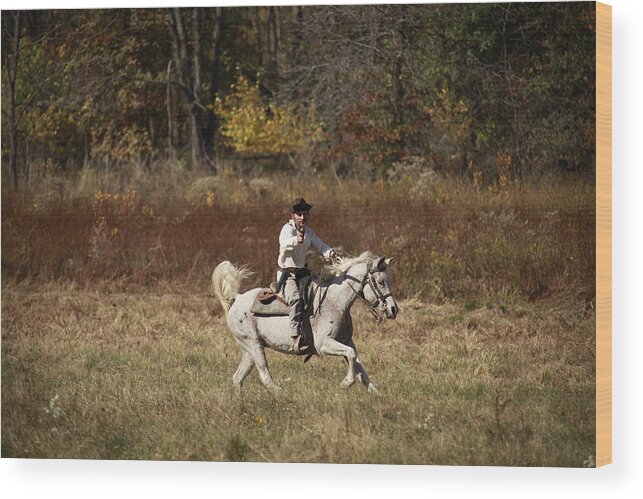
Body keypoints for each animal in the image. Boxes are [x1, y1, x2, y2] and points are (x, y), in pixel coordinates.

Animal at [214, 252, 400, 392]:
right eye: (381, 282)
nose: (393, 310)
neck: (334, 302)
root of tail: (237, 298)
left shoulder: (347, 341)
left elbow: (360, 368)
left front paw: (375, 393)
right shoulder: (324, 345)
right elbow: (352, 356)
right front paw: (346, 383)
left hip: (249, 350)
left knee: (238, 378)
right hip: (254, 345)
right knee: (265, 376)